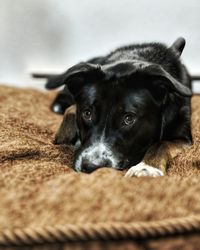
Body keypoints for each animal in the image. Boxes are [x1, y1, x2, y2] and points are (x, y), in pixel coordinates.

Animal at [38, 37, 192, 178]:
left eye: (129, 119)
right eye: (87, 113)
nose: (90, 167)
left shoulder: (184, 139)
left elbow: (161, 144)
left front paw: (147, 168)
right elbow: (71, 110)